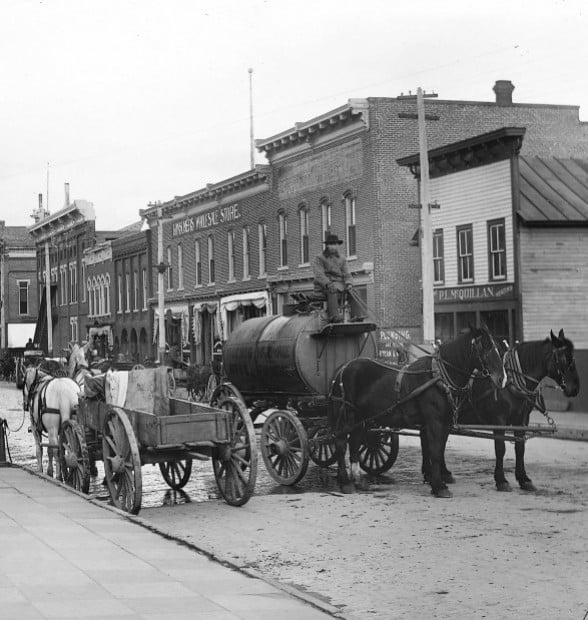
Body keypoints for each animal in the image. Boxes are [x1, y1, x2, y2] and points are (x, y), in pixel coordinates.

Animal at [330, 326, 506, 496]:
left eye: (498, 348)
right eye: (484, 347)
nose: (502, 379)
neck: (439, 377)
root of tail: (343, 368)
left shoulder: (445, 422)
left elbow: (439, 450)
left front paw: (436, 480)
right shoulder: (434, 421)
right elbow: (434, 452)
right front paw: (438, 486)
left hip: (361, 417)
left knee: (354, 442)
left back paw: (357, 480)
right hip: (347, 415)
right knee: (341, 443)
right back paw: (345, 482)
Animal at [444, 326, 580, 492]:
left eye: (572, 357)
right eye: (565, 359)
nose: (575, 388)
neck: (511, 382)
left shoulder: (522, 420)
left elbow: (520, 448)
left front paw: (524, 479)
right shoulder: (499, 420)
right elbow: (500, 448)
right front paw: (501, 480)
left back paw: (445, 474)